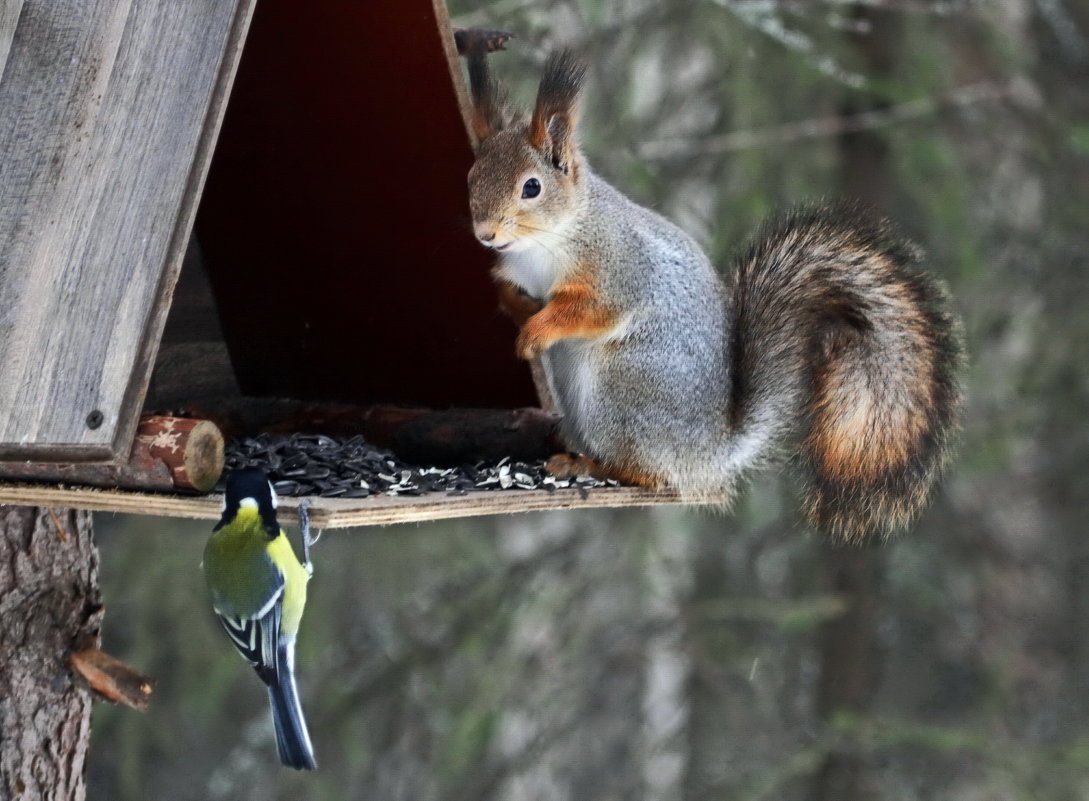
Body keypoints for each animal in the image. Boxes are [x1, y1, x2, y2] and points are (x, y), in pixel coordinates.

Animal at [459, 46, 962, 541]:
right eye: (471, 178)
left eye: (532, 187)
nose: (485, 234)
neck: (547, 241)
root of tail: (707, 452)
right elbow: (520, 295)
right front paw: (516, 306)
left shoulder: (618, 268)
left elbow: (593, 310)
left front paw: (535, 332)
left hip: (624, 389)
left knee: (647, 473)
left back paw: (589, 464)